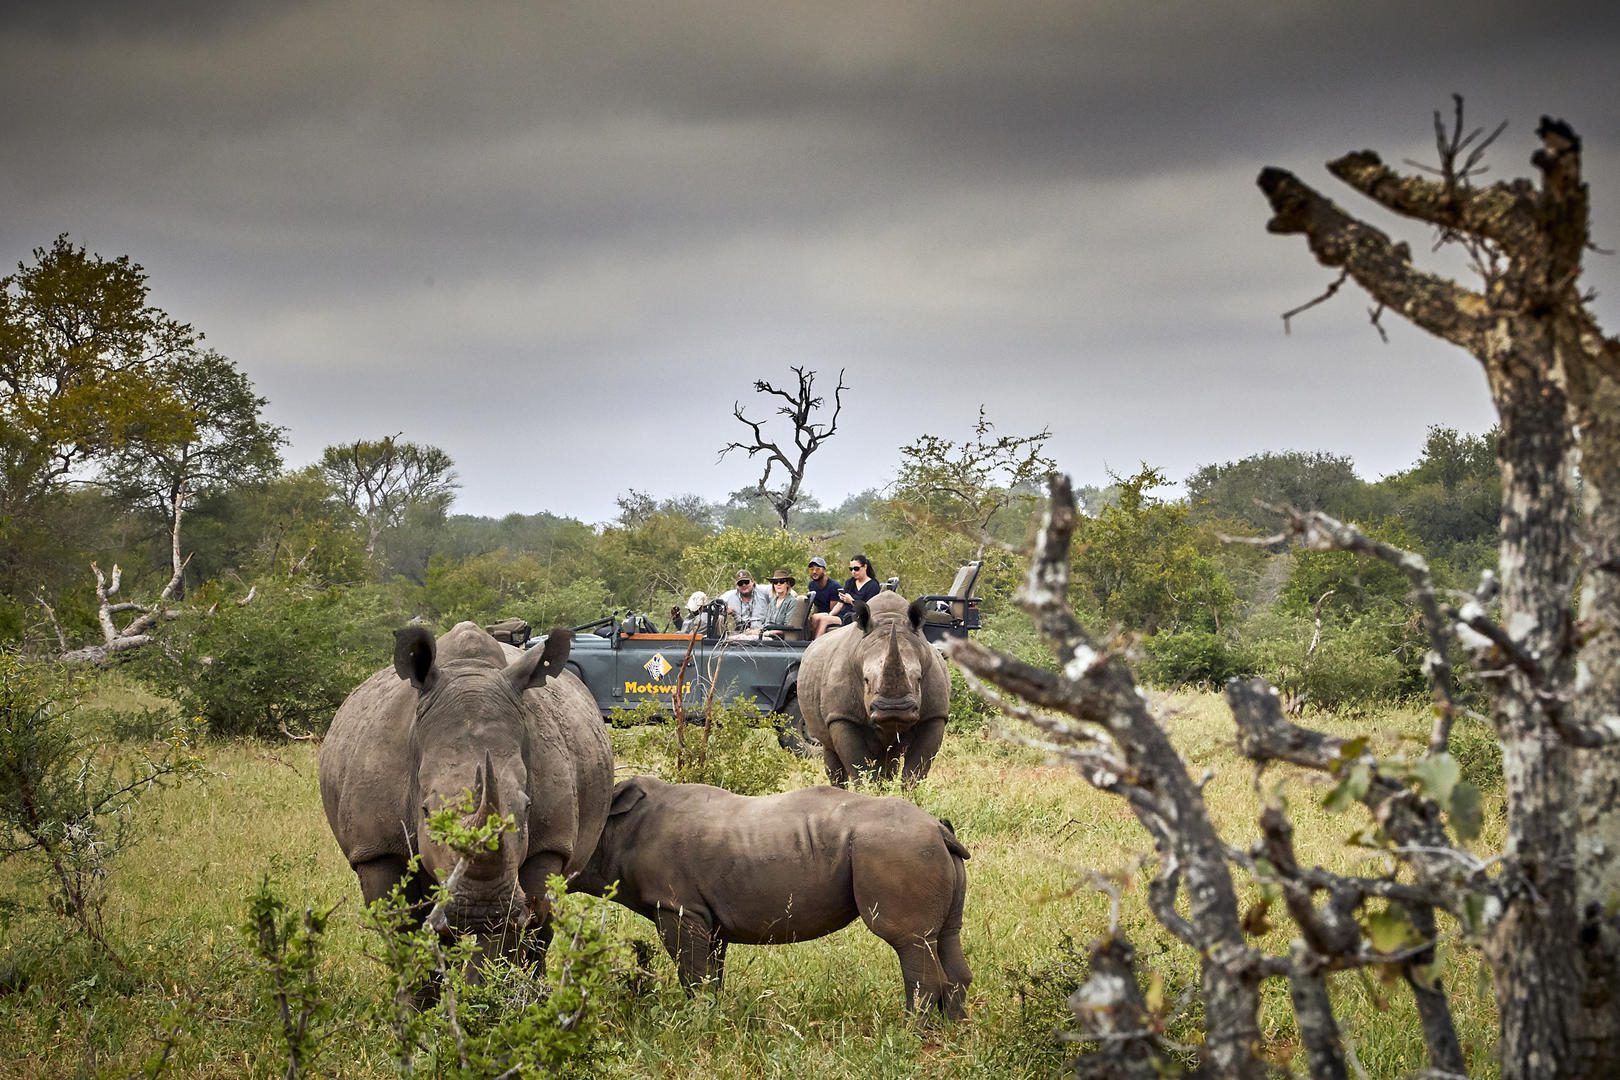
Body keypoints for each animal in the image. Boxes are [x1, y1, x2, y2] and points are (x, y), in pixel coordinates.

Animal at [576, 773, 965, 1016]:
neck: (617, 826)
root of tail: (938, 829)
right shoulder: (706, 915)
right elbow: (711, 973)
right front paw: (713, 1018)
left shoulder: (678, 907)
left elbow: (693, 974)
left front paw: (693, 1023)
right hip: (924, 848)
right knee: (945, 937)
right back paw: (951, 1030)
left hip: (897, 847)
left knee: (908, 939)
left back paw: (910, 1032)